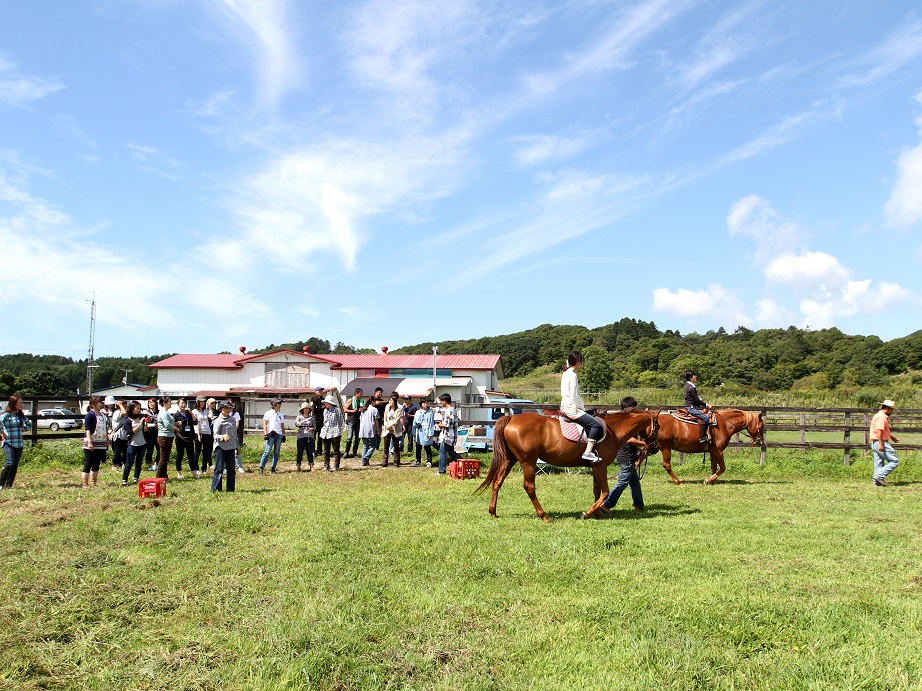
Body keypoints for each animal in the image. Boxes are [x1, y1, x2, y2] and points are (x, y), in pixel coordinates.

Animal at [474, 410, 660, 524]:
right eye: (658, 426)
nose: (654, 448)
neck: (613, 430)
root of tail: (511, 418)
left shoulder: (595, 467)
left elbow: (597, 491)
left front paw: (597, 513)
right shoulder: (601, 466)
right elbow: (605, 492)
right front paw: (587, 513)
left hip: (510, 459)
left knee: (497, 482)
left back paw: (492, 511)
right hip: (528, 462)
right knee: (529, 487)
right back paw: (544, 516)